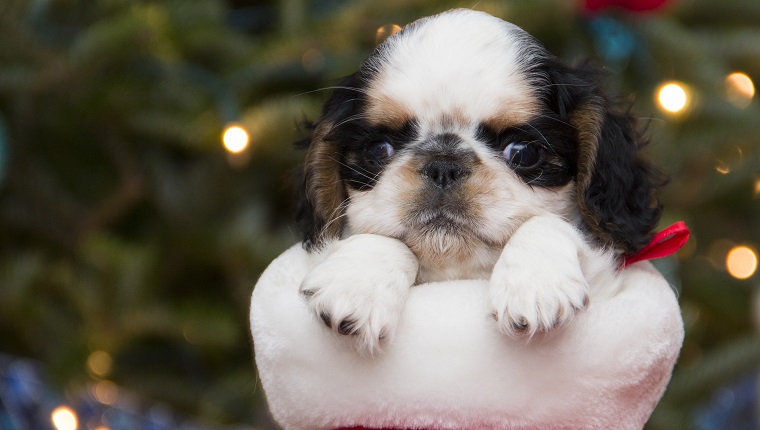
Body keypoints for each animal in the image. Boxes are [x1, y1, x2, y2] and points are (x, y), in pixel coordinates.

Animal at [294, 8, 664, 354]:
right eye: (379, 149)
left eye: (523, 153)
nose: (443, 166)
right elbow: (380, 234)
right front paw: (356, 285)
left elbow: (552, 224)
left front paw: (535, 284)